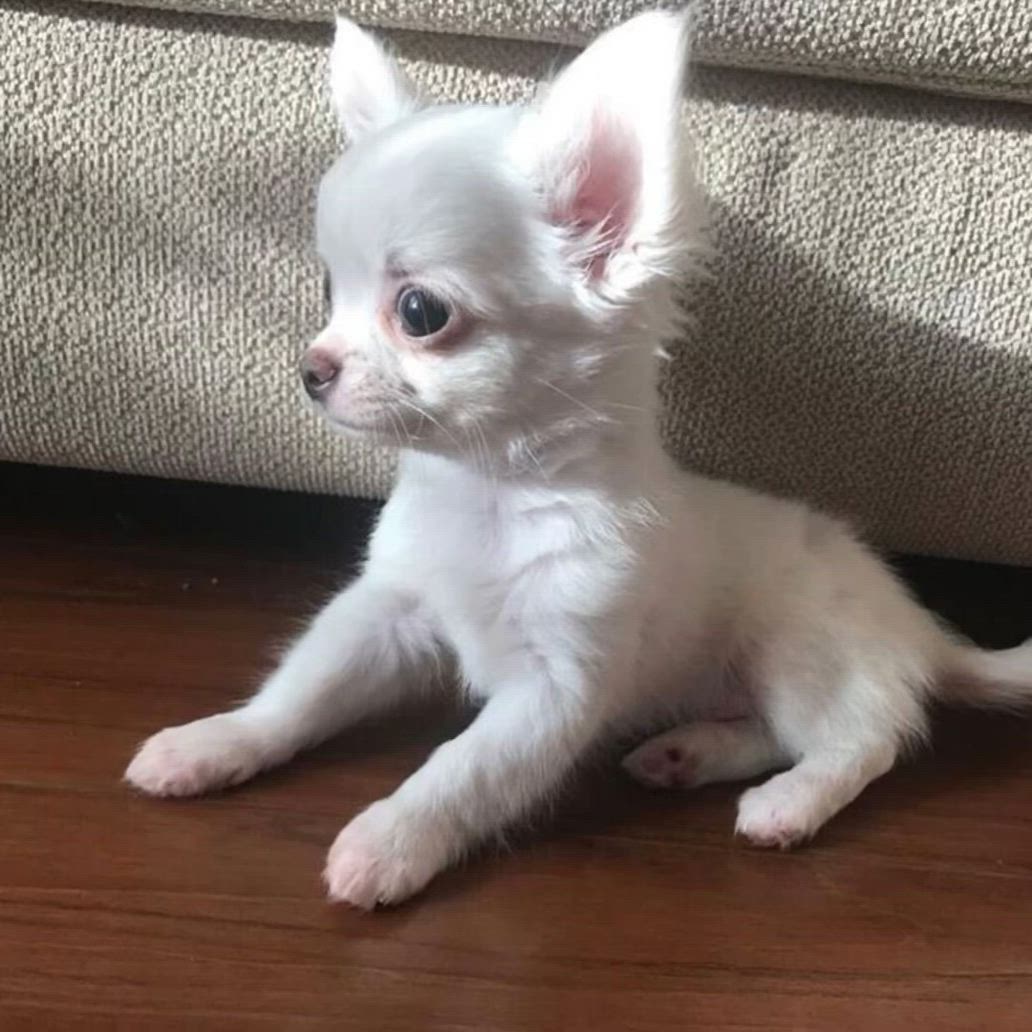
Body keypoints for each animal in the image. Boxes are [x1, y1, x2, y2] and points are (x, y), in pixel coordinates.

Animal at [129, 12, 1032, 908]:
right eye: (327, 291)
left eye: (420, 312)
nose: (309, 371)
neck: (489, 492)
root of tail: (917, 627)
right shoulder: (385, 612)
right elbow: (301, 689)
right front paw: (218, 741)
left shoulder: (554, 688)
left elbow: (461, 770)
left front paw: (388, 841)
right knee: (779, 731)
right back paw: (687, 753)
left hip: (802, 647)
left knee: (860, 742)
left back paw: (790, 802)